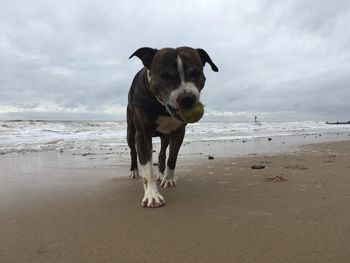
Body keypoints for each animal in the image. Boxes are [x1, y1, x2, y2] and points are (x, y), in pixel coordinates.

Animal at [127, 47, 217, 208]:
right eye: (166, 75)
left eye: (195, 73)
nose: (186, 98)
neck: (162, 107)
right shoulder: (142, 133)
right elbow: (147, 168)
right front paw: (152, 195)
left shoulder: (179, 132)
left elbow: (172, 157)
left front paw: (168, 179)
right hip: (130, 131)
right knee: (132, 150)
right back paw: (134, 171)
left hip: (165, 137)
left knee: (162, 153)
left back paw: (161, 174)